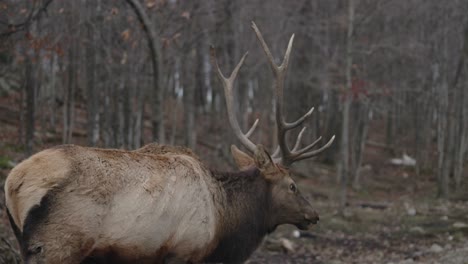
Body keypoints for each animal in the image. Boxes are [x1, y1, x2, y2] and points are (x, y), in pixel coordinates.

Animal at [3, 22, 332, 264]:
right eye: (292, 185)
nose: (314, 215)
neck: (223, 222)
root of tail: (14, 182)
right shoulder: (183, 251)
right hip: (57, 245)